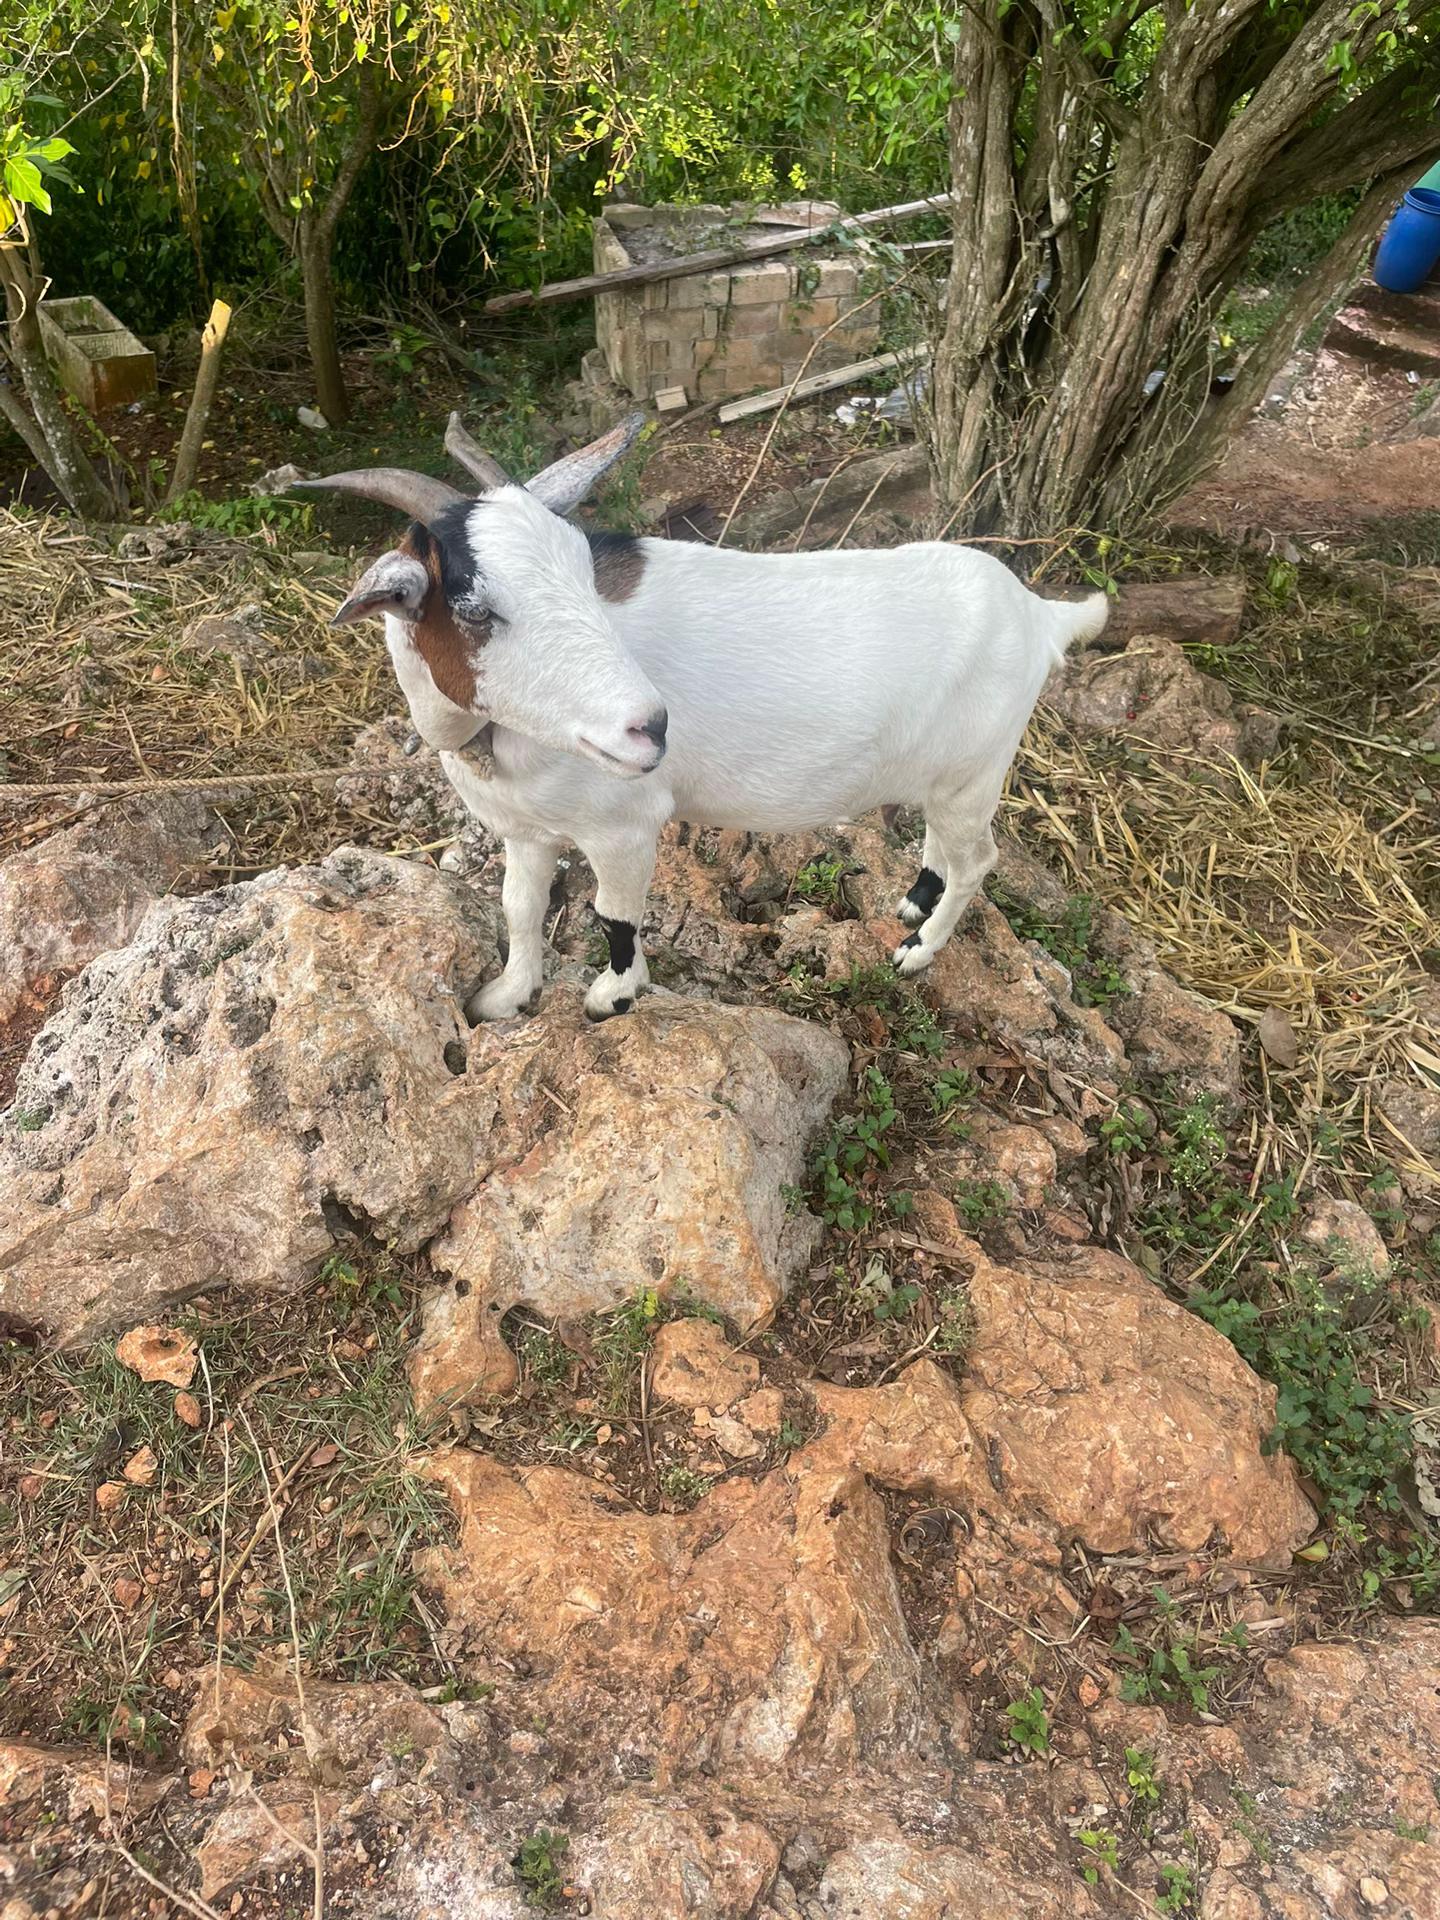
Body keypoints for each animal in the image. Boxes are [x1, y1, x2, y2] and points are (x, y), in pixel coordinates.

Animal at [295, 416, 1108, 1022]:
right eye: (472, 609)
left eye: (586, 572)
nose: (651, 727)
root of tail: (1041, 615)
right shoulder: (527, 830)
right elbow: (521, 909)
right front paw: (503, 997)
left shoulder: (625, 826)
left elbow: (614, 916)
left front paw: (612, 998)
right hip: (946, 778)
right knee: (945, 847)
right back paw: (911, 904)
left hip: (975, 773)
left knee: (978, 861)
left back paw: (917, 952)